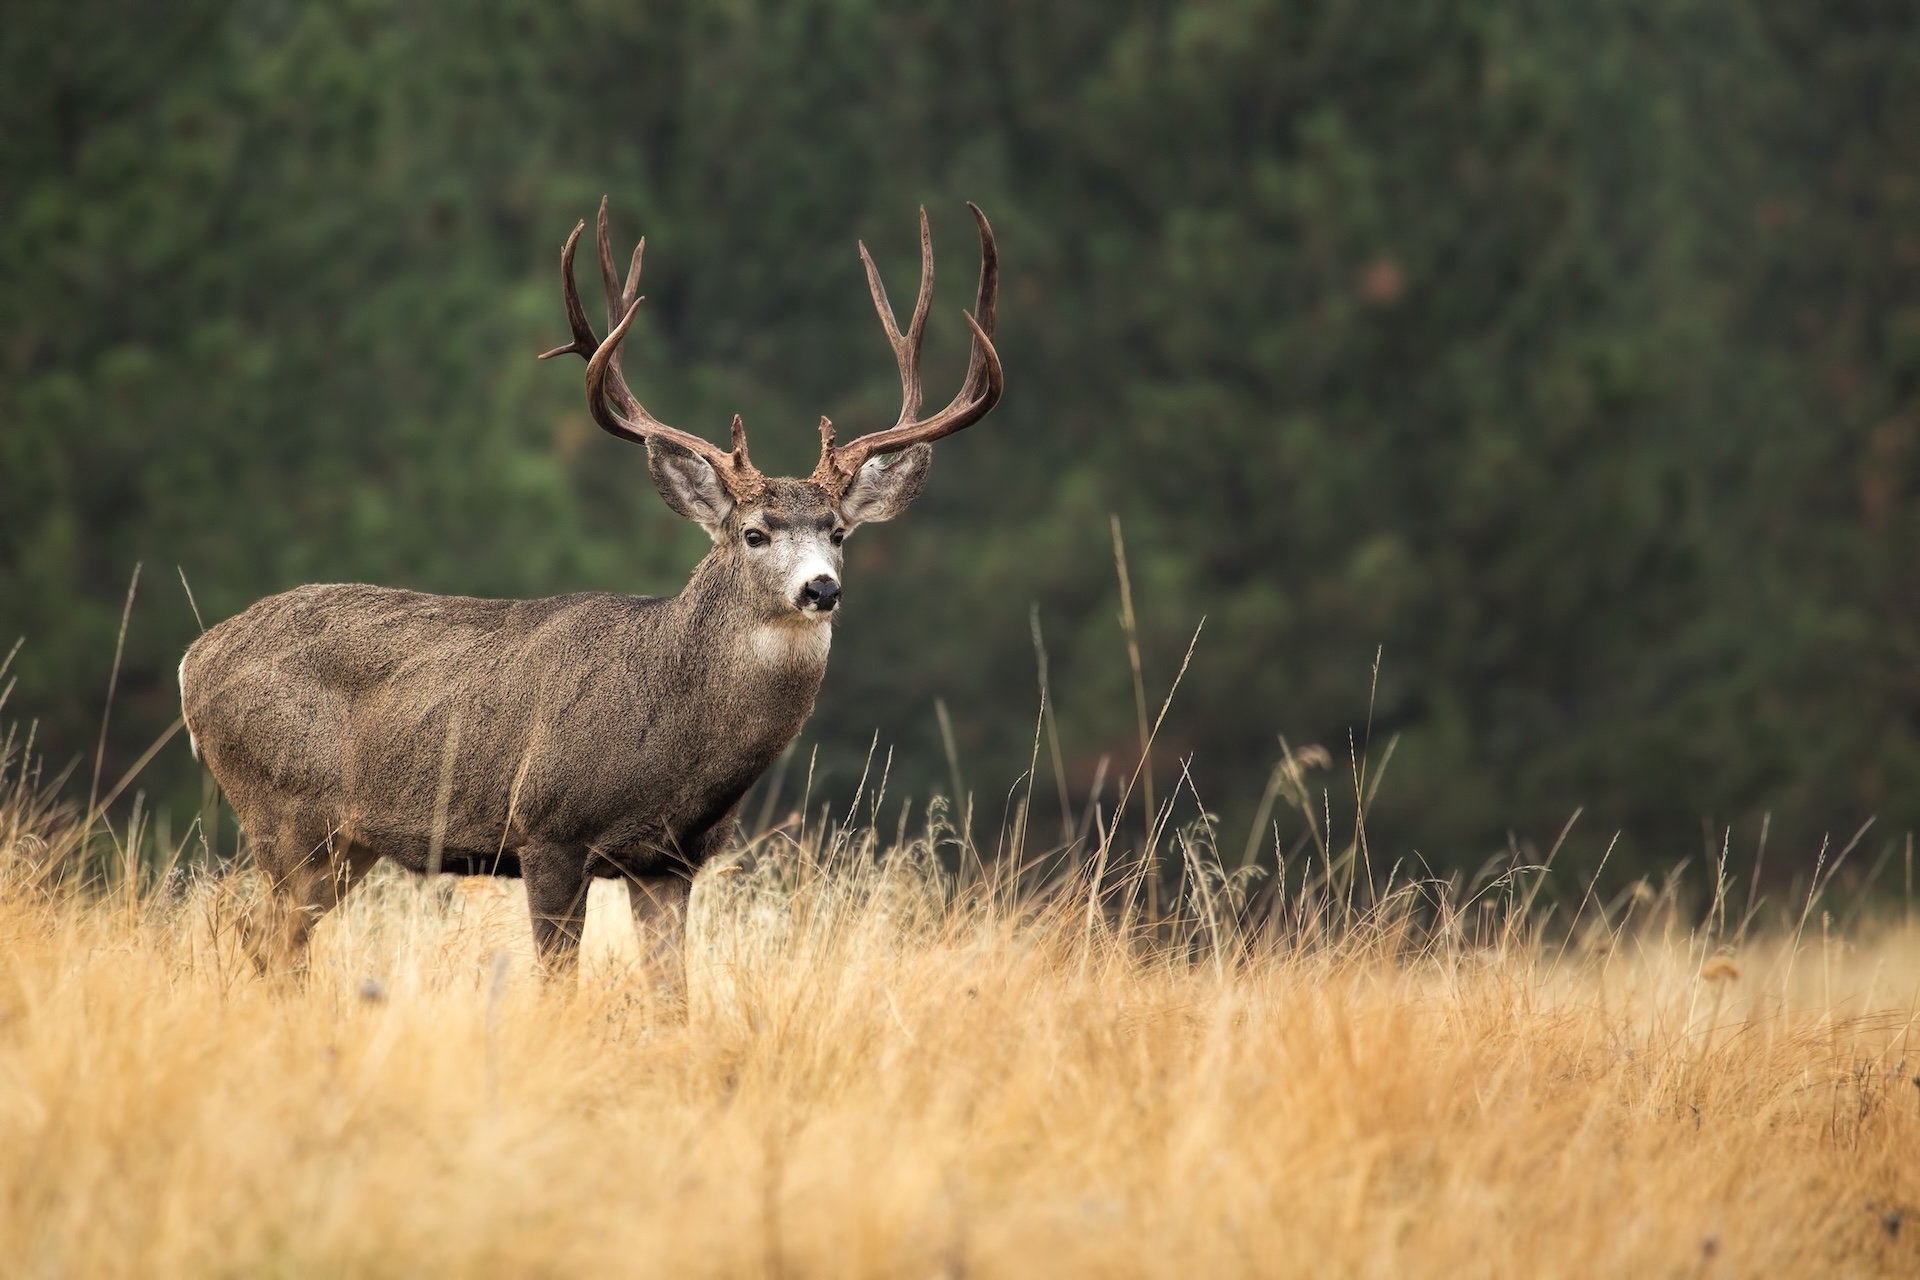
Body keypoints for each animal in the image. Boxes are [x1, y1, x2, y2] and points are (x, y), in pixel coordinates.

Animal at [177, 198, 1001, 982]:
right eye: (754, 533)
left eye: (837, 531)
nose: (821, 589)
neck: (676, 739)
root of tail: (195, 659)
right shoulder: (547, 831)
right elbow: (556, 982)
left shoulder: (671, 861)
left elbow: (673, 996)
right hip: (283, 808)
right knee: (261, 933)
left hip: (344, 842)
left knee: (274, 940)